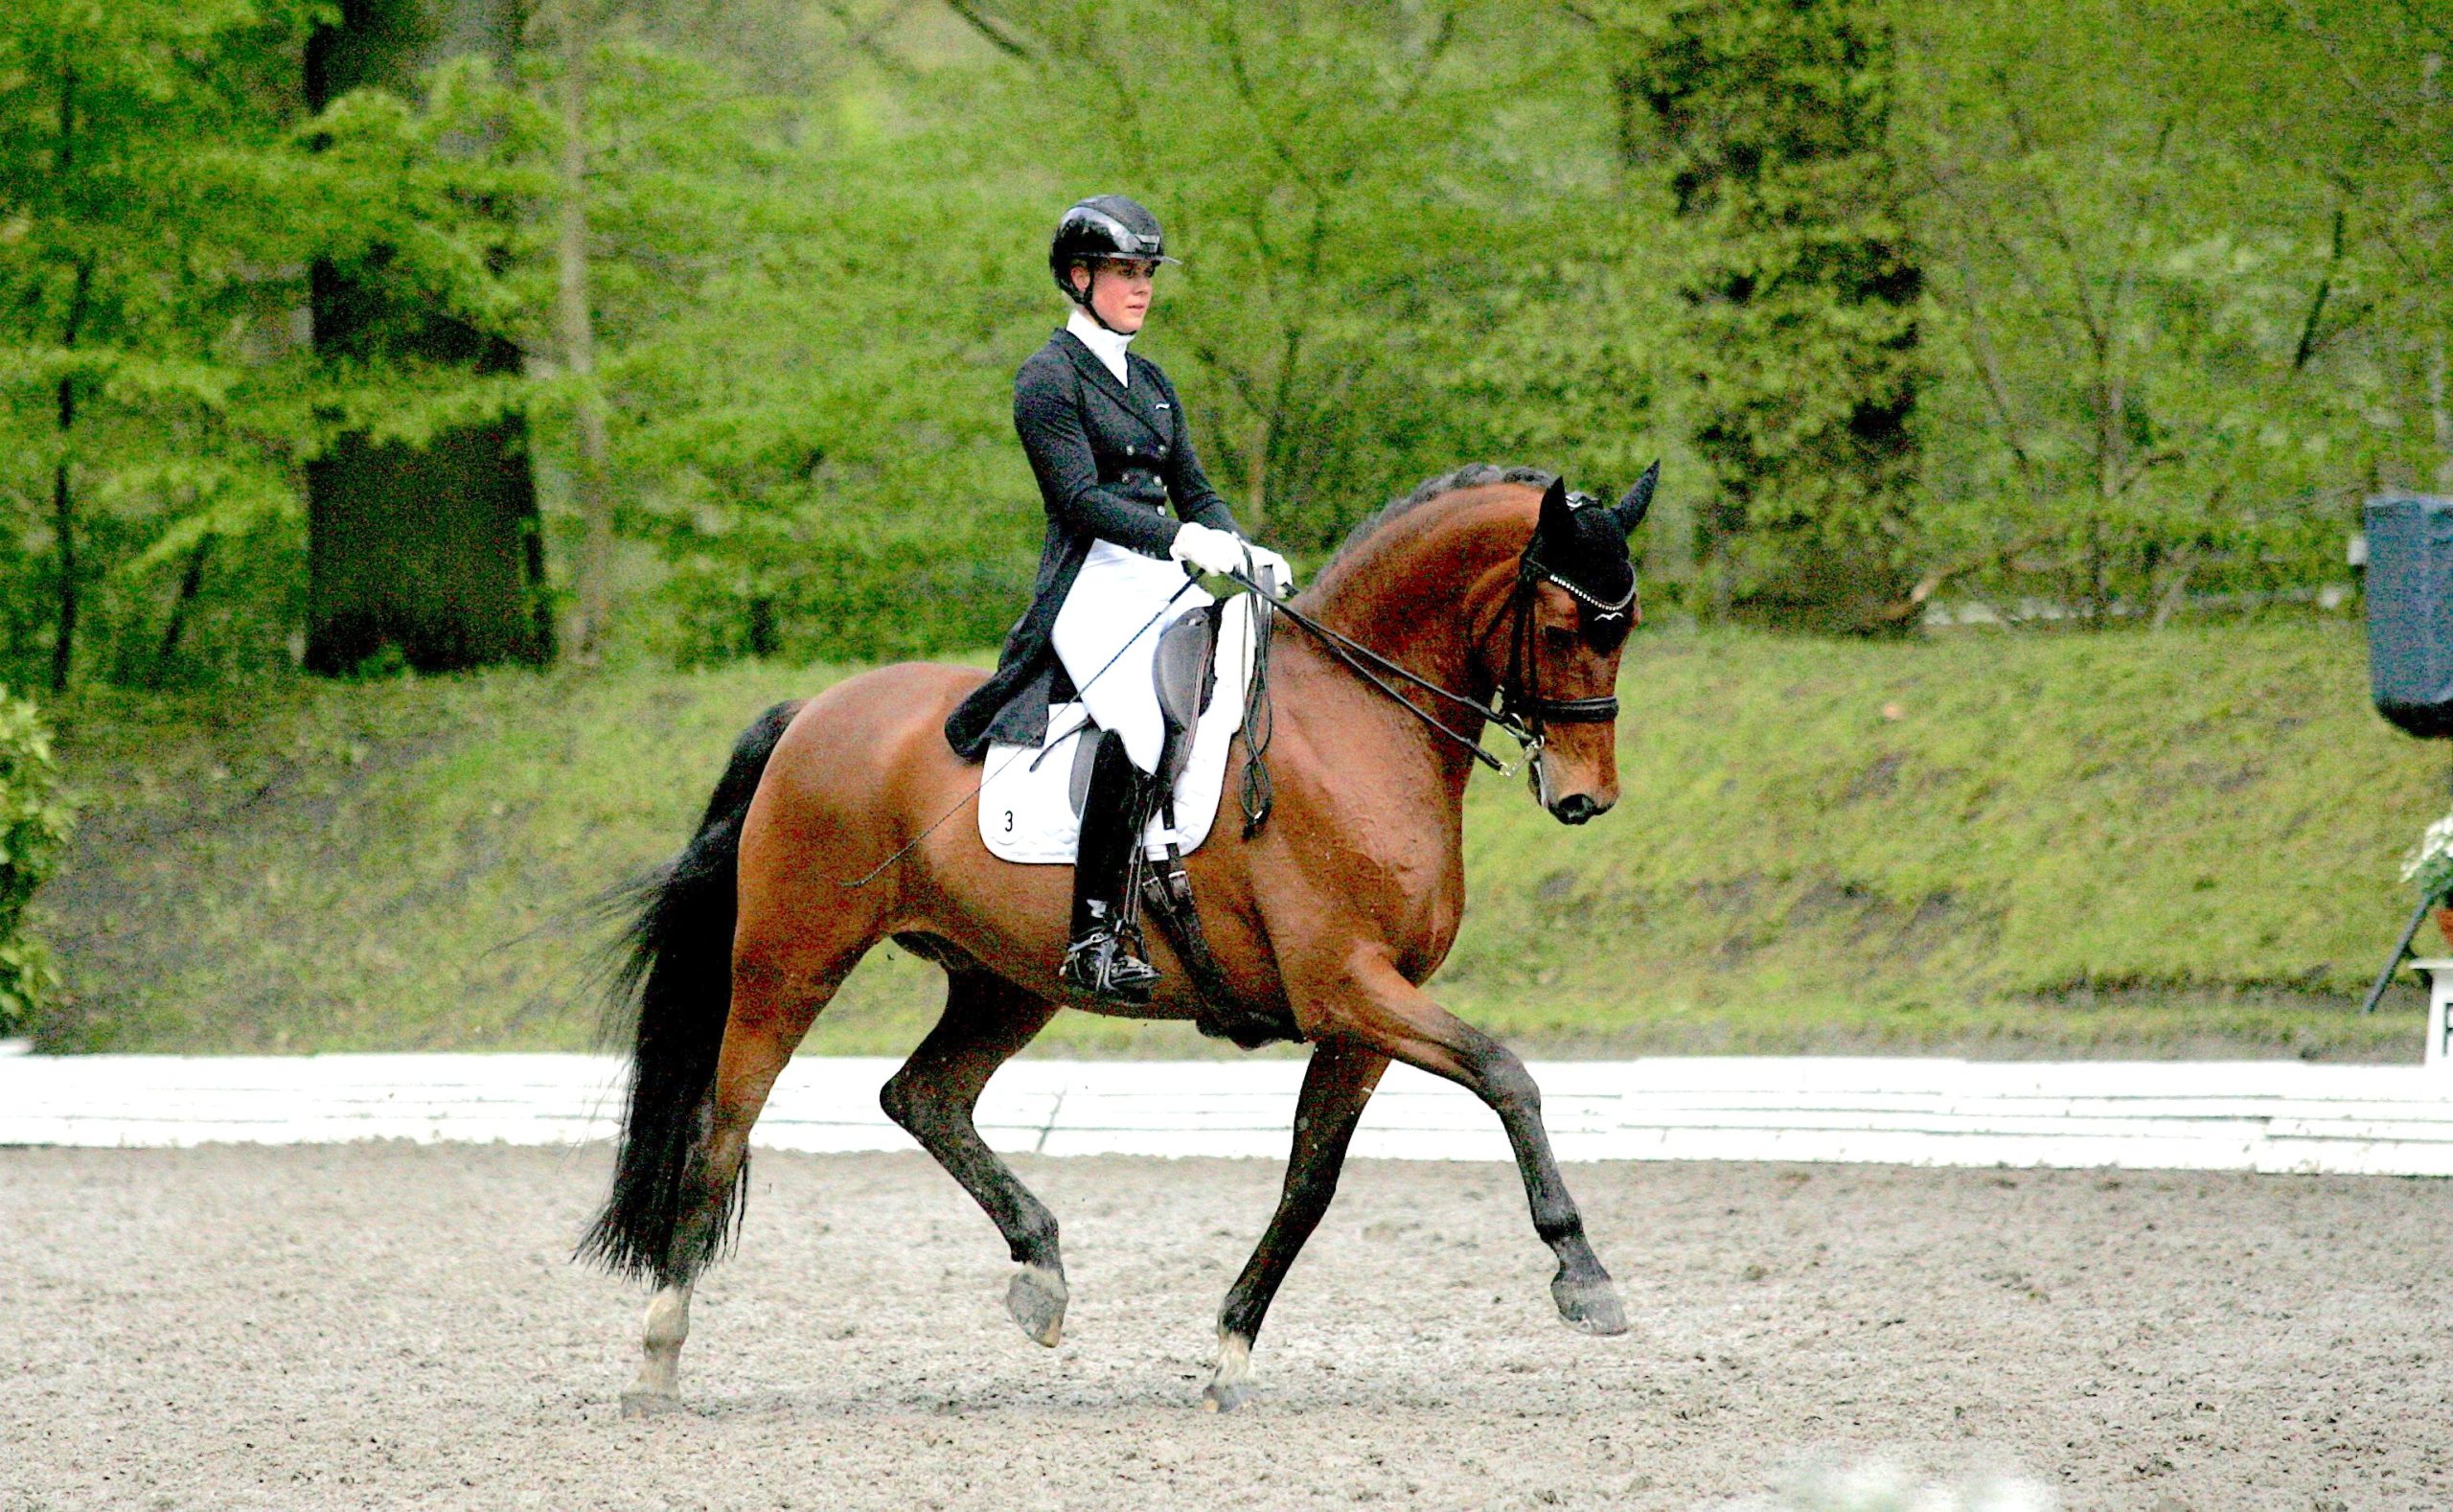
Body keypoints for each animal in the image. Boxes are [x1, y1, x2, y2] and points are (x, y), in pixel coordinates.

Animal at [584, 461, 1658, 1413]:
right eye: (1564, 627)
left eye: (1627, 627)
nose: (1586, 798)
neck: (1354, 723)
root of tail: (811, 710)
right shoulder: (1347, 986)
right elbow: (1505, 1074)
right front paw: (1583, 1272)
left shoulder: (1365, 1016)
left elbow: (1312, 1178)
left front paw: (1230, 1349)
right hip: (791, 963)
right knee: (720, 1135)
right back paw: (658, 1360)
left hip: (1009, 982)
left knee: (923, 1096)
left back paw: (1040, 1275)